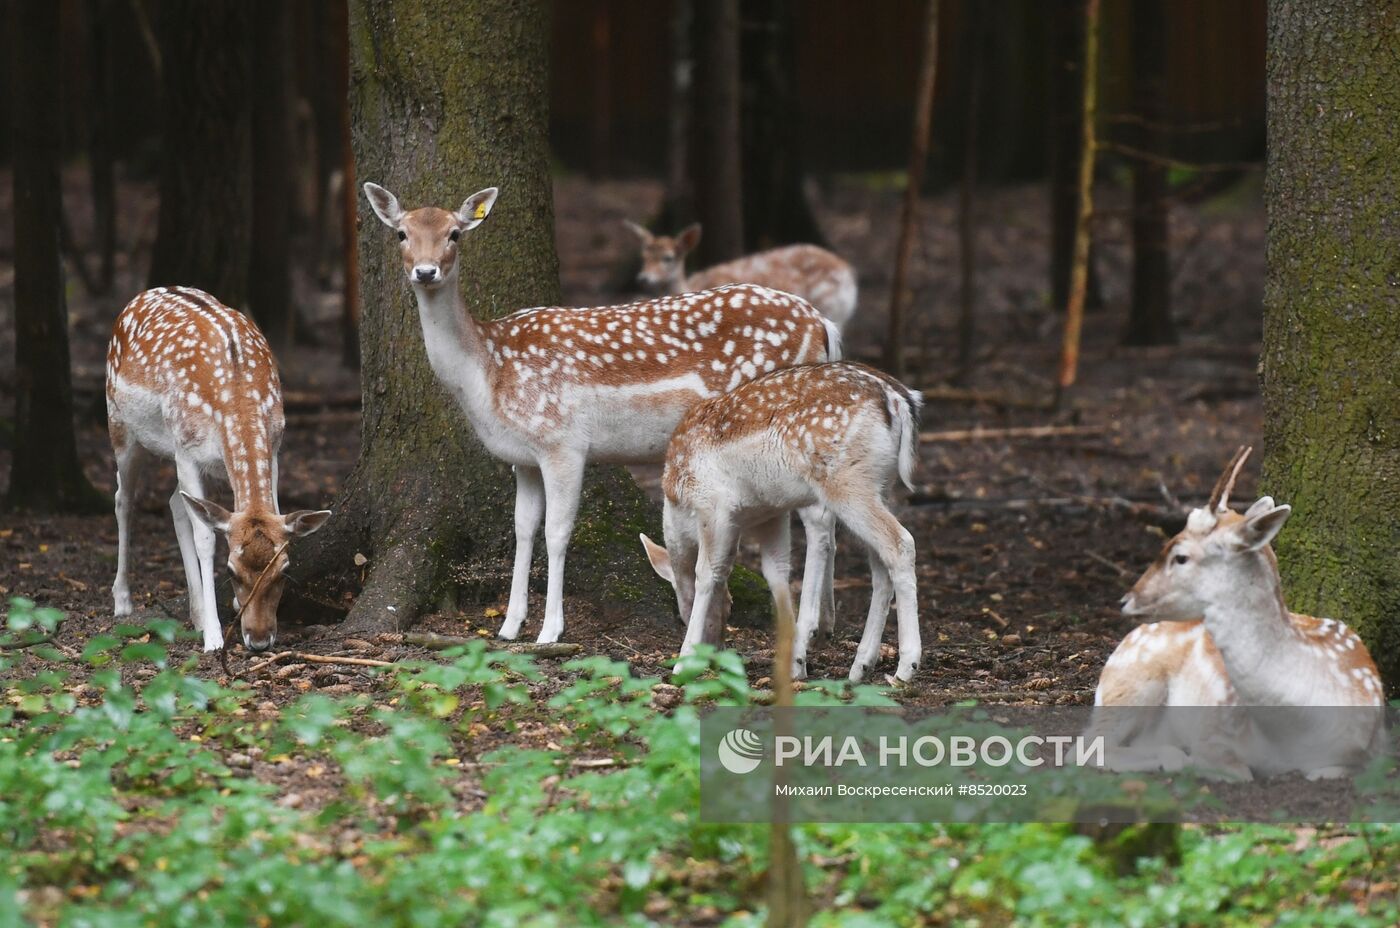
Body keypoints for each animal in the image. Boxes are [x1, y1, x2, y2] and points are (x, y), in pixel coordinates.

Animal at [107, 288, 331, 652]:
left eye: (284, 570)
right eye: (230, 571)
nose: (259, 639)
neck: (236, 398)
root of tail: (141, 296)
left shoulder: (274, 448)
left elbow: (269, 508)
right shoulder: (185, 448)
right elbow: (205, 538)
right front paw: (214, 636)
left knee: (175, 503)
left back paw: (195, 613)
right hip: (121, 425)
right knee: (123, 499)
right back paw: (123, 601)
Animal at [641, 363, 924, 683]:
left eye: (683, 612)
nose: (715, 655)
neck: (678, 503)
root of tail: (899, 399)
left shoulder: (713, 504)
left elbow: (706, 573)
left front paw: (682, 662)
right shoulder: (771, 512)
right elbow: (776, 573)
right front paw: (795, 663)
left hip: (846, 482)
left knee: (900, 543)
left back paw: (906, 667)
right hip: (881, 484)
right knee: (879, 564)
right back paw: (860, 666)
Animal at [1086, 447, 1383, 778]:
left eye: (1181, 557)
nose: (1126, 600)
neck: (1294, 734)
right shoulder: (1213, 728)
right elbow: (1238, 771)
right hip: (1131, 683)